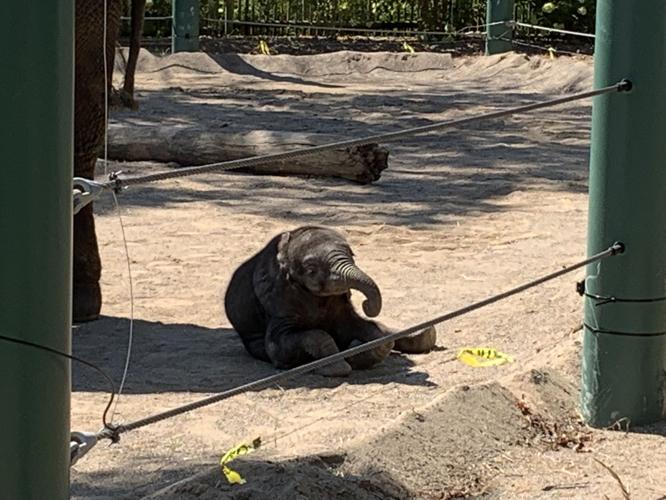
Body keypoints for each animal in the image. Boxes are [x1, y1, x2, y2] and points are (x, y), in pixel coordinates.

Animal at [224, 226, 437, 377]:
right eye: (311, 270)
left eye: (353, 255)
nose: (366, 304)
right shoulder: (278, 300)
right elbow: (280, 346)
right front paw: (338, 366)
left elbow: (372, 331)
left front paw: (355, 351)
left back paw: (425, 335)